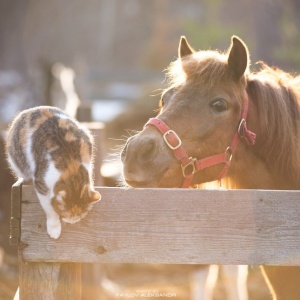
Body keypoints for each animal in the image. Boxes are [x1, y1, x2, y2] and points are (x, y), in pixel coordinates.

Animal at [5, 105, 101, 239]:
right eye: (65, 214)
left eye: (80, 215)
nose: (72, 222)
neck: (72, 168)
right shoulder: (41, 183)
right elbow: (49, 208)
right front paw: (54, 228)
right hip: (15, 159)